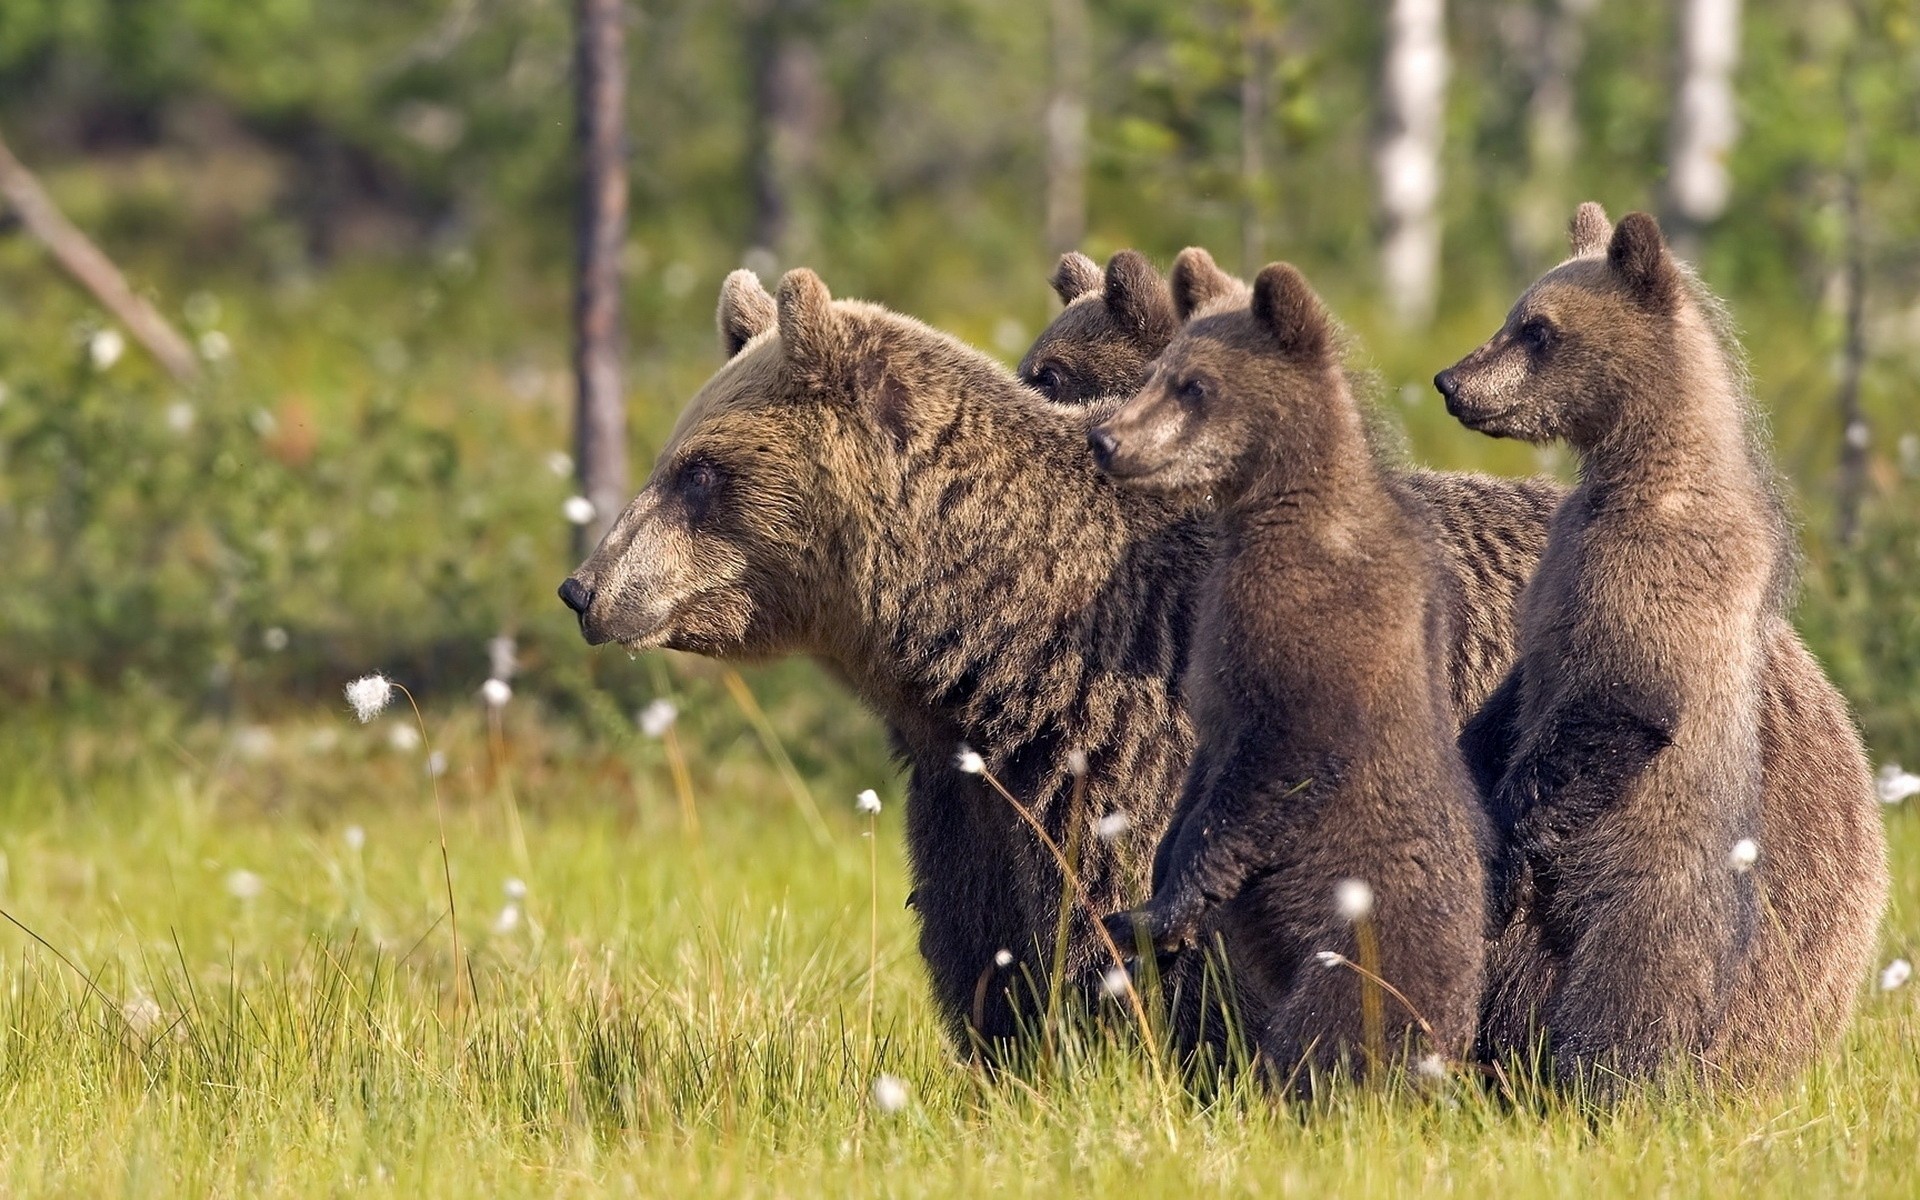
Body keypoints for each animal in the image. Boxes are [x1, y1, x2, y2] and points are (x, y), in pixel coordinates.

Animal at [1092, 255, 1490, 1091]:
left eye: (1194, 385)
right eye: (1157, 371)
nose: (1105, 438)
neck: (1275, 508)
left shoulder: (1312, 631)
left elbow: (1279, 762)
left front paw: (1156, 911)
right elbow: (1202, 775)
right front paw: (1152, 898)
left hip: (1364, 951)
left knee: (1329, 1039)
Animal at [1438, 203, 1889, 1086]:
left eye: (1537, 329)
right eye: (1515, 315)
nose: (1450, 380)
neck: (1640, 468)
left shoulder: (1654, 578)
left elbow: (1618, 704)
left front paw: (1499, 847)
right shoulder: (1555, 573)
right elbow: (1517, 692)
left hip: (1649, 898)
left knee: (1624, 1005)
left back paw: (1601, 1081)